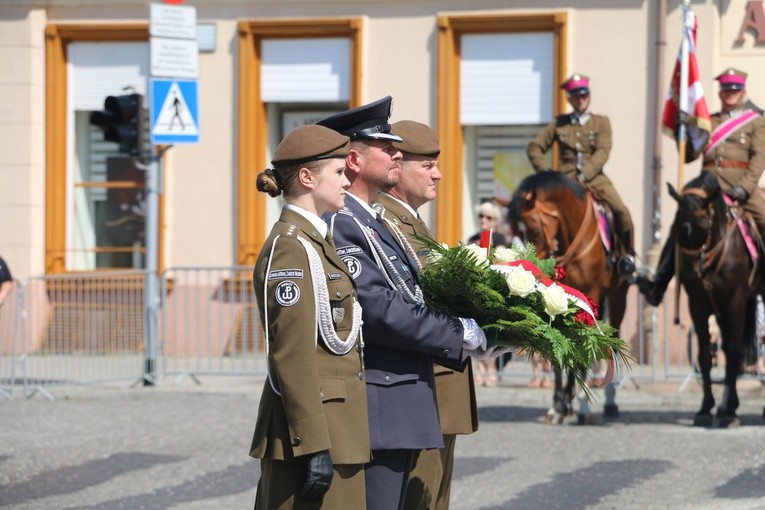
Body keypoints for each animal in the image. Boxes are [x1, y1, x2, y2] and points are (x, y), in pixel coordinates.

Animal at [508, 170, 628, 422]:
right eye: (515, 231)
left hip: (618, 297)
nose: (532, 266)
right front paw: (558, 405)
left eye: (534, 229)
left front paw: (581, 405)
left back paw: (607, 402)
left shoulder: (591, 295)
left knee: (614, 339)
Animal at [664, 171, 760, 426]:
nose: (693, 274)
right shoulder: (698, 304)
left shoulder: (736, 302)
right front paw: (707, 408)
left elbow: (734, 352)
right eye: (677, 229)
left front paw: (727, 411)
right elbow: (706, 355)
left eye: (703, 226)